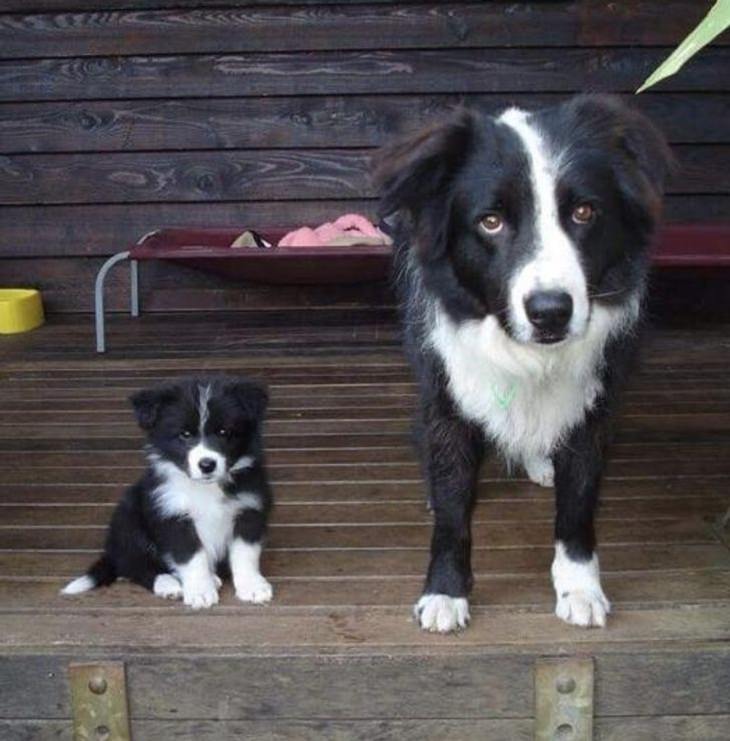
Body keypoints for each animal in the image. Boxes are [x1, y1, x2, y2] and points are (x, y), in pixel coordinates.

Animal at [61, 376, 272, 608]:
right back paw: (168, 584)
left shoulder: (248, 510)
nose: (207, 465)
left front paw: (251, 586)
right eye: (185, 434)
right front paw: (200, 591)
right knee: (136, 566)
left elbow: (245, 553)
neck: (205, 488)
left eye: (224, 432)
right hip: (129, 519)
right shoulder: (171, 515)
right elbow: (191, 555)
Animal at [376, 95, 672, 632]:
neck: (527, 352)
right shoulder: (445, 394)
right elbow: (453, 508)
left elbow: (578, 505)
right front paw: (445, 592)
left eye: (584, 212)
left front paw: (580, 587)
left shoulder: (595, 402)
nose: (551, 311)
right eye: (490, 221)